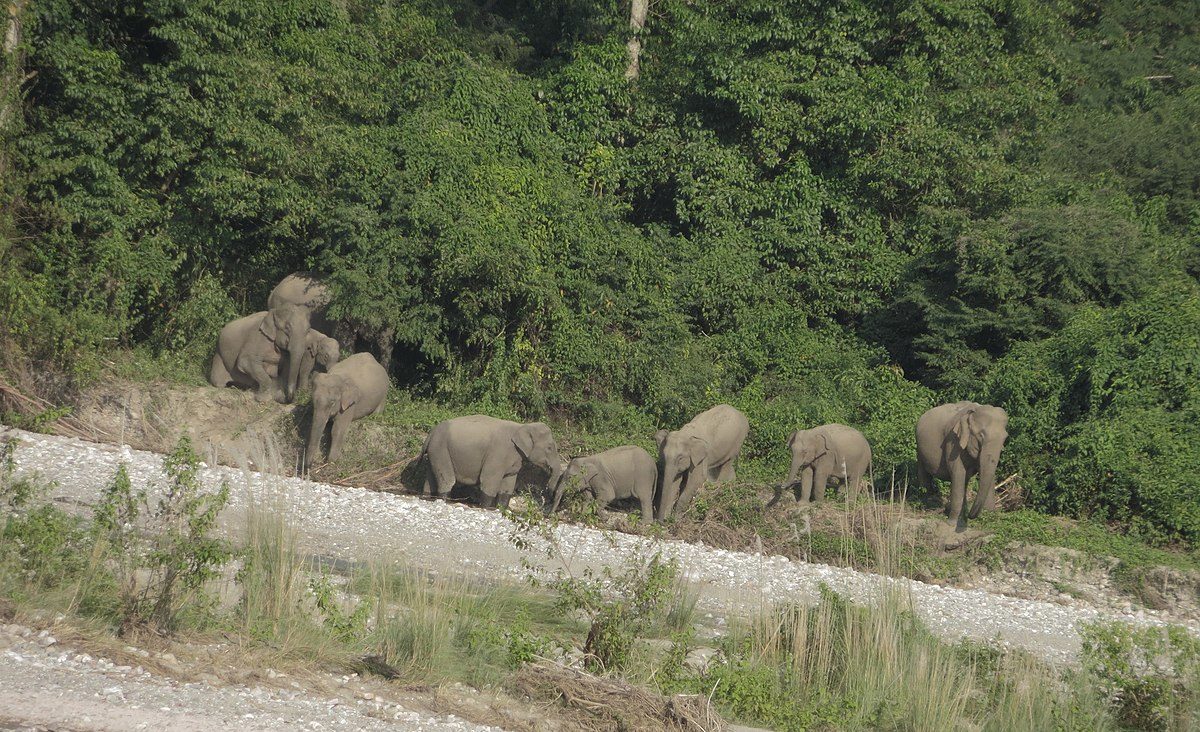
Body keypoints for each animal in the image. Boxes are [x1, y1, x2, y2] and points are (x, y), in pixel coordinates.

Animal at [422, 412, 561, 511]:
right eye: (549, 448)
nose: (547, 494)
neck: (522, 426)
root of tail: (431, 433)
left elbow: (509, 482)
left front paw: (501, 508)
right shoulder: (497, 454)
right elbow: (489, 480)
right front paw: (487, 508)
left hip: (435, 452)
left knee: (430, 477)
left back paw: (427, 497)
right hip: (441, 449)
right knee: (447, 480)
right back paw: (443, 500)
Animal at [916, 400, 1012, 528]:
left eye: (1005, 438)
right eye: (981, 435)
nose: (971, 516)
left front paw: (990, 520)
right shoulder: (953, 441)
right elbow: (958, 473)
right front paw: (952, 524)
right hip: (919, 448)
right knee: (924, 474)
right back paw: (927, 507)